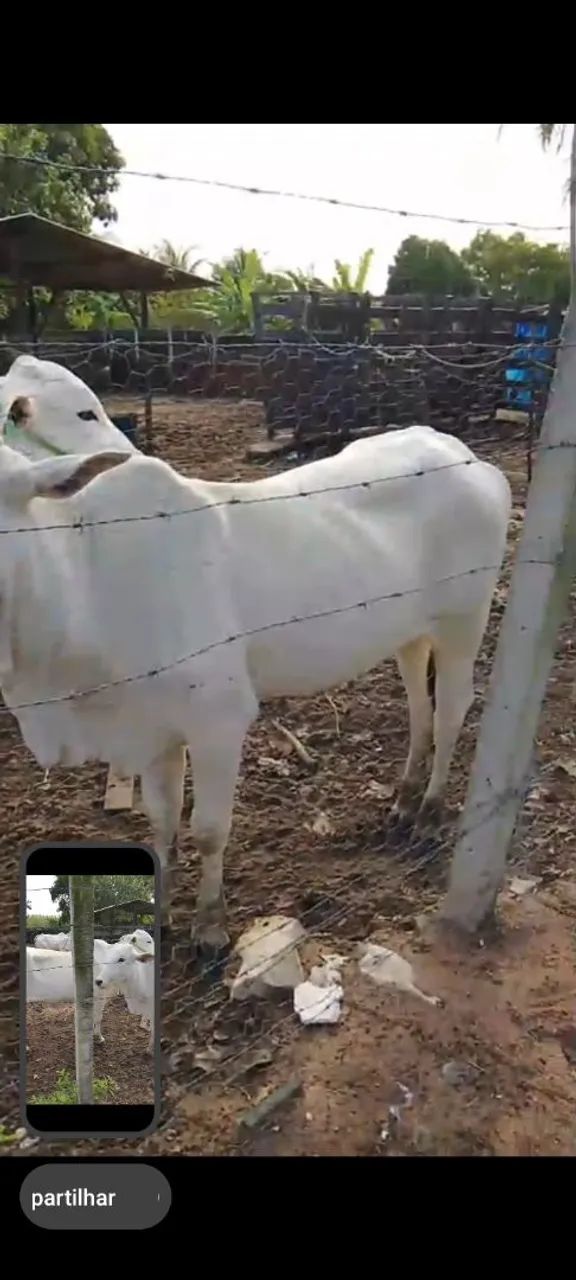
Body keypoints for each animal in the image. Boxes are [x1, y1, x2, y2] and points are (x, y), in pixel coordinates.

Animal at [0, 425, 511, 955]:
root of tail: (463, 454)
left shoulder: (219, 722)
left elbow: (208, 830)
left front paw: (209, 926)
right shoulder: (155, 732)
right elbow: (163, 822)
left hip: (462, 624)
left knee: (450, 711)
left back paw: (430, 811)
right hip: (410, 636)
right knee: (418, 708)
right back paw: (405, 801)